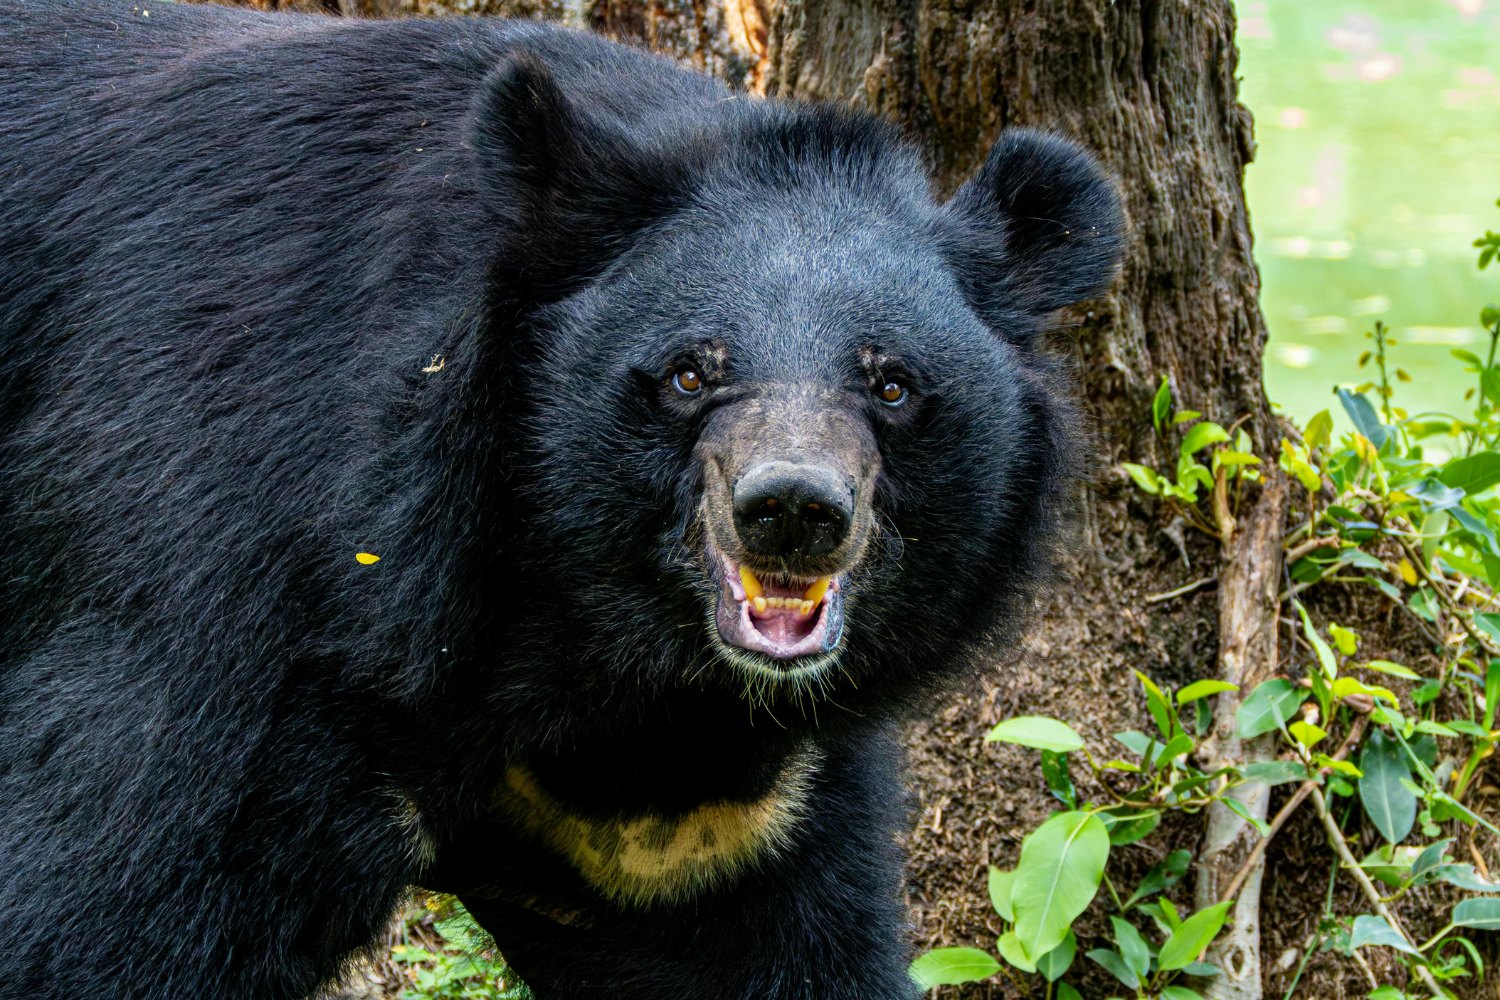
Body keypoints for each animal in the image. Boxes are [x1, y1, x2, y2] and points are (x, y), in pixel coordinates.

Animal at [0, 2, 1125, 998]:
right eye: (688, 374)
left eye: (891, 385)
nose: (794, 509)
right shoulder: (239, 587)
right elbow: (107, 897)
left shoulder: (727, 820)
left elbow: (775, 955)